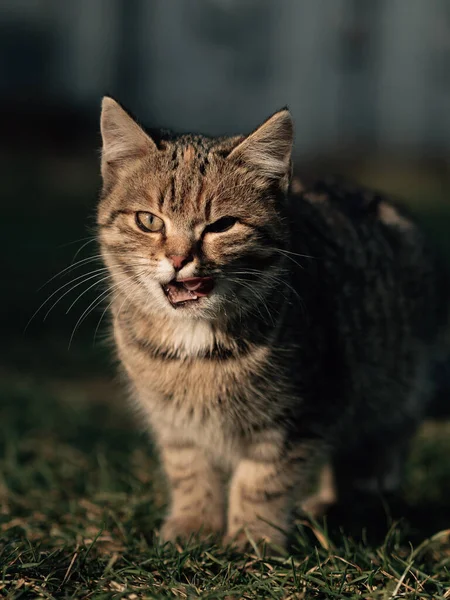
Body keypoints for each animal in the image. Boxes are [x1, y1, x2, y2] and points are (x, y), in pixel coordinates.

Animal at [96, 96, 448, 552]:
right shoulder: (176, 424)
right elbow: (190, 471)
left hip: (391, 385)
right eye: (149, 221)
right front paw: (195, 525)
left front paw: (253, 537)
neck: (197, 345)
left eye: (221, 225)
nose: (178, 259)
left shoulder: (300, 411)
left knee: (378, 453)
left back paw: (350, 503)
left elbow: (263, 480)